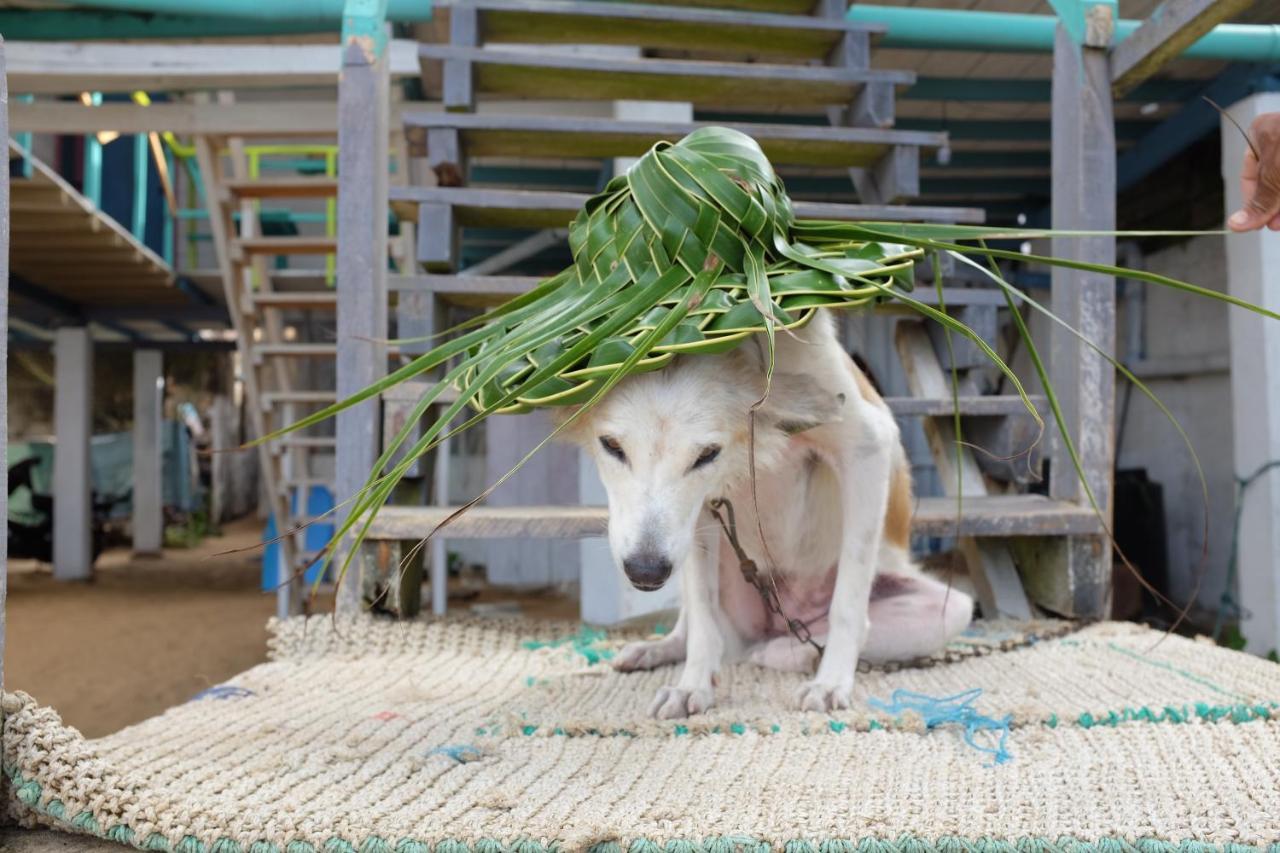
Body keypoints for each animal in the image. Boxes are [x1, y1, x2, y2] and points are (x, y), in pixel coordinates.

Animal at [565, 308, 972, 712]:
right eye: (611, 445)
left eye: (707, 454)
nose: (645, 573)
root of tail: (779, 619)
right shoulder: (697, 514)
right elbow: (702, 616)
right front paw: (692, 685)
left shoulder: (867, 447)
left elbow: (848, 607)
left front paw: (830, 682)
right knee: (699, 624)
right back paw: (662, 649)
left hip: (951, 608)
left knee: (806, 640)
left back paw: (792, 653)